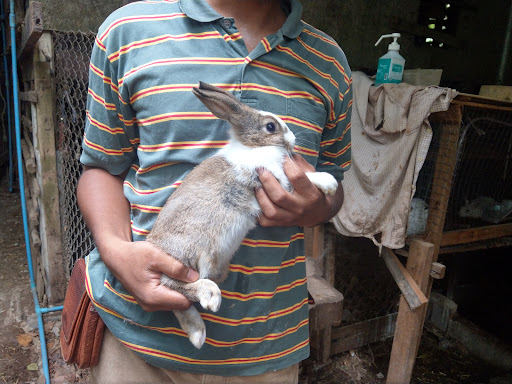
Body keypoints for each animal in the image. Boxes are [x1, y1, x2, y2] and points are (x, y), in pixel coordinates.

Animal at [146, 82, 338, 350]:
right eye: (271, 126)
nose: (292, 139)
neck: (254, 147)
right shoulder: (273, 176)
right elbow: (304, 179)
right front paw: (329, 182)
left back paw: (197, 334)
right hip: (192, 254)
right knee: (173, 286)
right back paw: (209, 297)